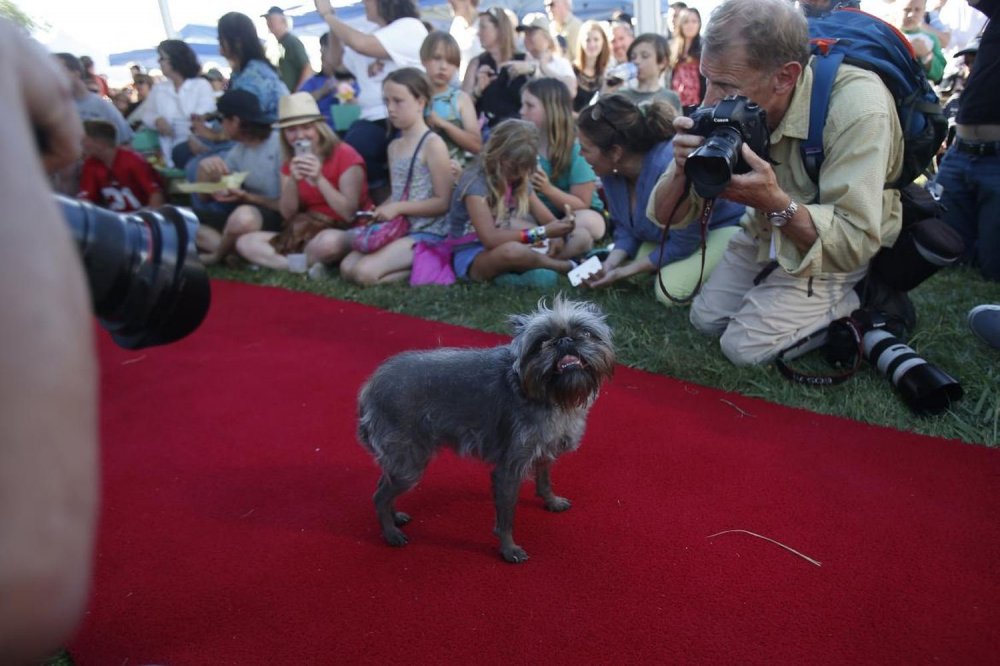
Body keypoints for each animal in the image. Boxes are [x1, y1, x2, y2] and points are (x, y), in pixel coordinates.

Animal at [356, 296, 612, 560]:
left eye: (585, 333)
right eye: (541, 343)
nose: (565, 340)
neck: (552, 396)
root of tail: (369, 388)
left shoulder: (544, 451)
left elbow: (544, 481)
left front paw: (551, 501)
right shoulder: (508, 470)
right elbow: (506, 517)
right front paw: (509, 549)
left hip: (400, 462)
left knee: (383, 486)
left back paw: (395, 518)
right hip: (409, 463)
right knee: (379, 496)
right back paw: (391, 533)